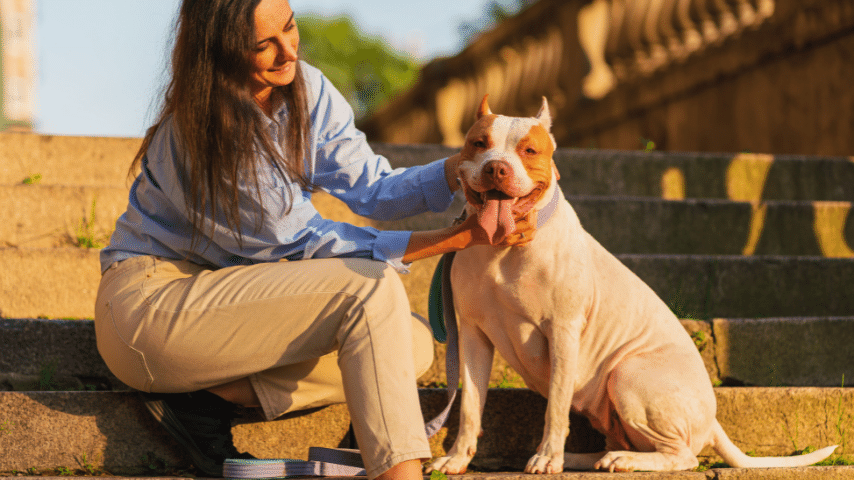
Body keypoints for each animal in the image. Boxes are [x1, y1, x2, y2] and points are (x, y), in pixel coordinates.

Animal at [424, 94, 840, 472]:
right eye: (479, 143)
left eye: (529, 150)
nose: (496, 169)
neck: (505, 248)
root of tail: (713, 421)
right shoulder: (473, 335)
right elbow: (471, 406)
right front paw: (457, 459)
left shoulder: (563, 332)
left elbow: (556, 406)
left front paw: (546, 458)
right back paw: (586, 458)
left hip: (626, 375)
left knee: (684, 456)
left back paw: (612, 460)